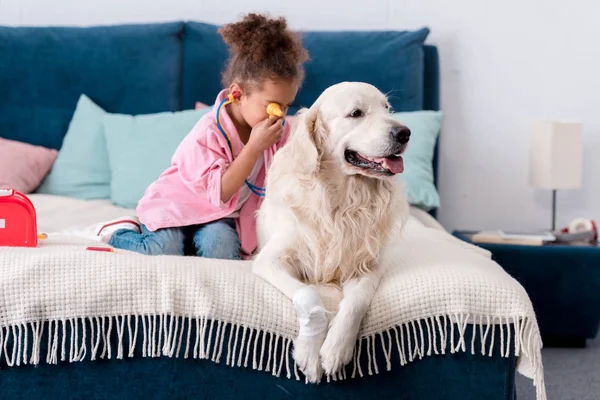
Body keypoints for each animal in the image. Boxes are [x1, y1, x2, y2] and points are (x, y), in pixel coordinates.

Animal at [251, 81, 410, 382]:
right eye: (356, 113)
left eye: (387, 108)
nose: (404, 133)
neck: (342, 200)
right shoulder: (269, 260)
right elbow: (309, 296)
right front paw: (310, 351)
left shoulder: (368, 265)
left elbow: (357, 301)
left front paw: (336, 348)